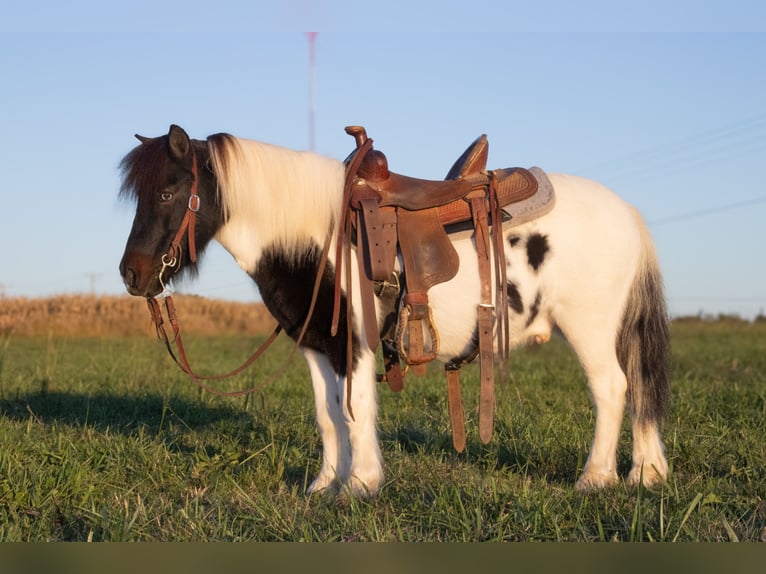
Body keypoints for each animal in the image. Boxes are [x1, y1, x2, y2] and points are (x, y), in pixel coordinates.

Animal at [119, 124, 670, 497]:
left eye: (167, 191)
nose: (131, 275)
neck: (317, 236)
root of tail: (628, 213)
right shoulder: (318, 346)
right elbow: (328, 415)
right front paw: (325, 484)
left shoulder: (356, 343)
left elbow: (356, 409)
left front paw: (360, 484)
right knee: (638, 389)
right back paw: (646, 472)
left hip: (588, 328)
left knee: (612, 388)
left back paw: (595, 478)